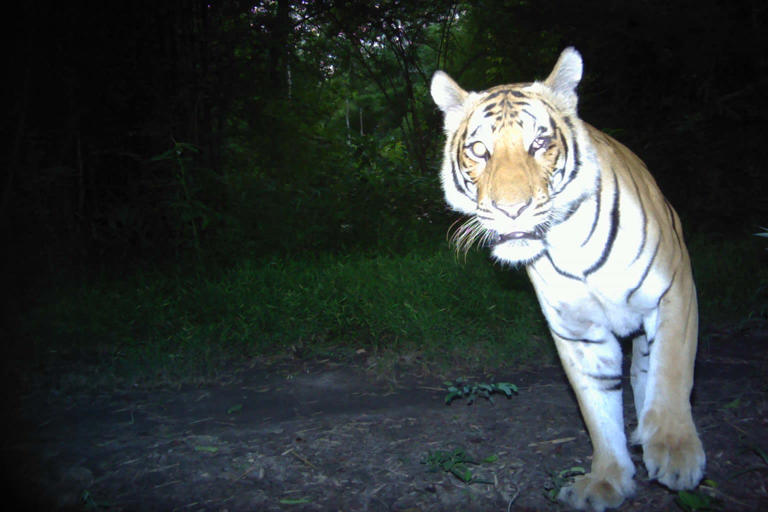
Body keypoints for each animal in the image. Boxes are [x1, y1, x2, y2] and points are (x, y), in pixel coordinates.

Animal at [430, 48, 705, 511]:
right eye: (480, 150)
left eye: (540, 143)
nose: (511, 210)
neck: (570, 243)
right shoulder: (578, 332)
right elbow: (597, 410)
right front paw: (607, 480)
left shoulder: (673, 291)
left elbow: (672, 371)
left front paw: (675, 450)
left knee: (649, 372)